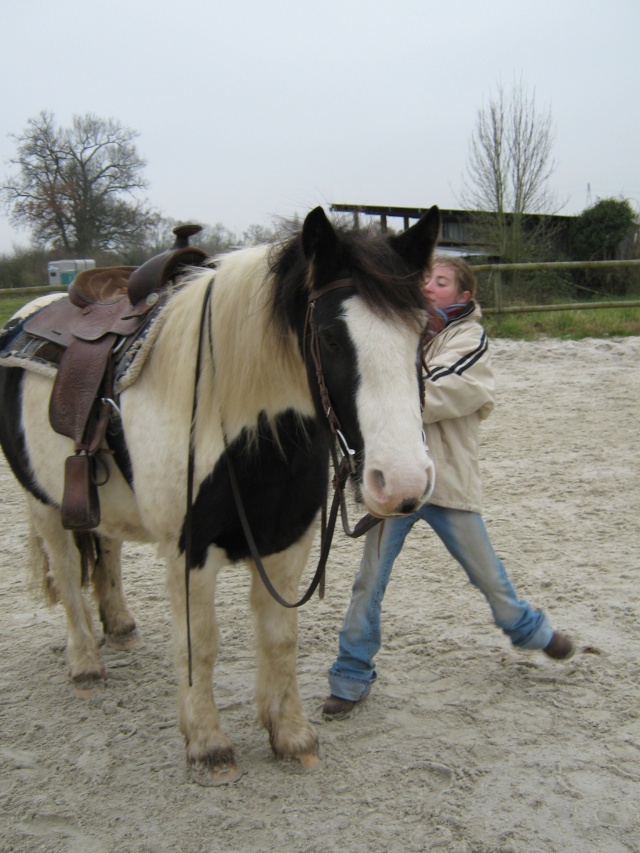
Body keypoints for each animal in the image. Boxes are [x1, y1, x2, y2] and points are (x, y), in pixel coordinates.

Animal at [0, 203, 440, 784]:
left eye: (422, 333)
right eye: (327, 337)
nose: (404, 481)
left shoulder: (287, 543)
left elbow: (280, 638)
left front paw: (291, 735)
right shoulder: (188, 551)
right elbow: (199, 644)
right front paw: (207, 743)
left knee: (107, 551)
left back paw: (119, 627)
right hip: (43, 504)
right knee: (70, 576)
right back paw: (86, 664)